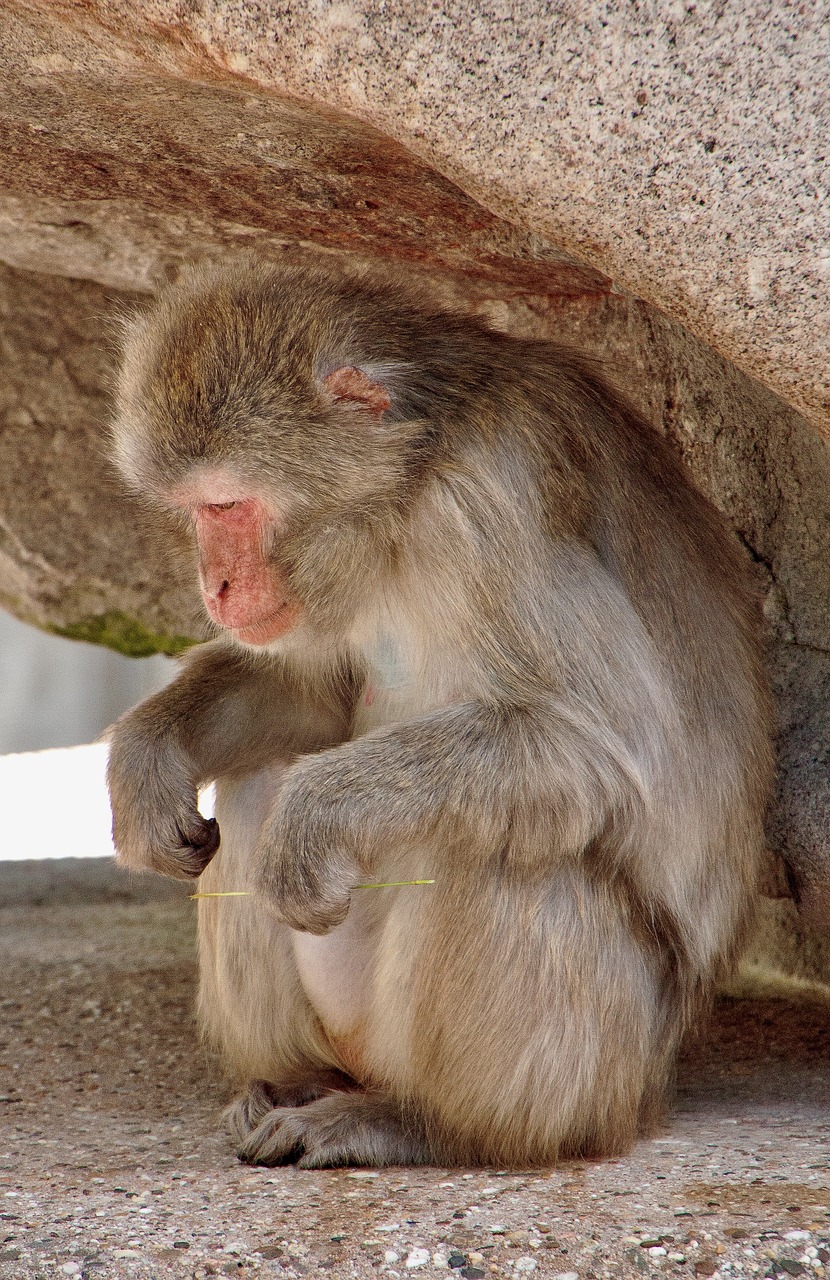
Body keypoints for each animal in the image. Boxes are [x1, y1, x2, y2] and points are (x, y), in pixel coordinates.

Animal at [106, 259, 773, 1172]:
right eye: (192, 514)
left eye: (226, 507)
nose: (217, 587)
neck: (403, 496)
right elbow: (312, 695)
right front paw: (146, 759)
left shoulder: (495, 504)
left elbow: (600, 744)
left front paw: (315, 812)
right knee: (254, 787)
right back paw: (299, 1083)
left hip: (599, 1065)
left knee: (492, 841)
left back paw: (432, 1124)